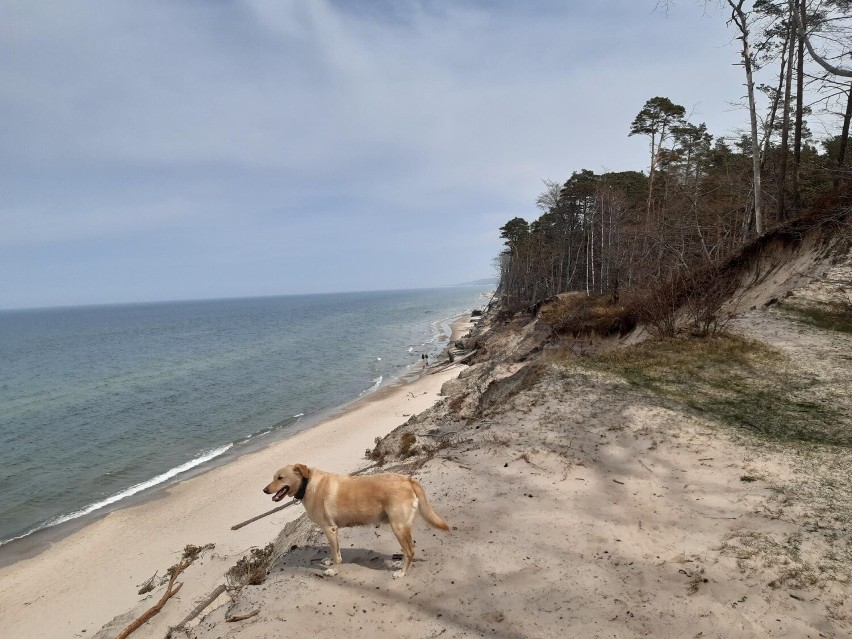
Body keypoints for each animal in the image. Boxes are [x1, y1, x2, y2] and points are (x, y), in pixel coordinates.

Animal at [262, 464, 450, 580]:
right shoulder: (333, 531)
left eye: (280, 478)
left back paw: (402, 572)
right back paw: (400, 562)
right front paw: (330, 562)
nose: (264, 490)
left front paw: (334, 570)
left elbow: (336, 555)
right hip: (401, 527)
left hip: (398, 526)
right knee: (408, 549)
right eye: (273, 477)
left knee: (410, 550)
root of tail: (408, 479)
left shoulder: (329, 529)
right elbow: (336, 551)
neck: (306, 484)